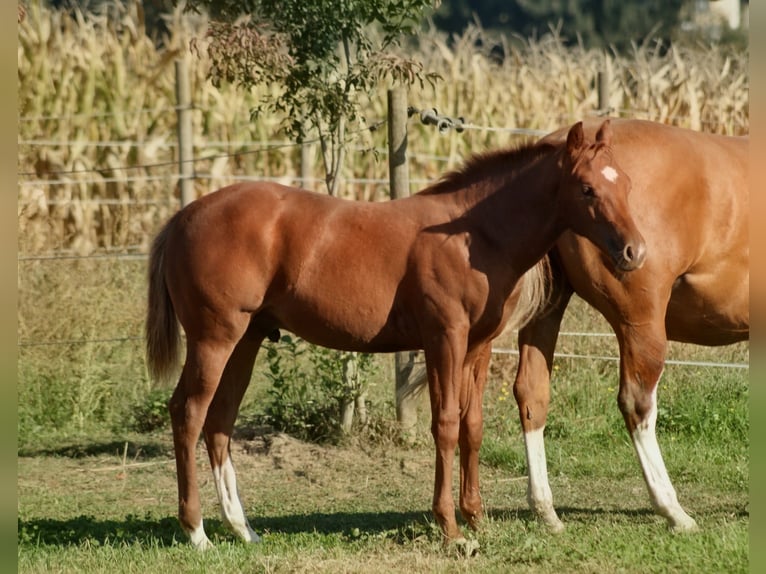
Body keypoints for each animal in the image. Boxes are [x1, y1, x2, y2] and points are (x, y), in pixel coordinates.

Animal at [145, 120, 646, 550]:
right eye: (587, 188)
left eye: (624, 183)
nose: (635, 251)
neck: (473, 234)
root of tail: (183, 216)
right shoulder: (444, 339)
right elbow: (445, 425)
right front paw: (450, 528)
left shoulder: (477, 347)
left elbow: (473, 426)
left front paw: (477, 518)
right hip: (214, 340)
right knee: (188, 414)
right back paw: (197, 532)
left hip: (245, 342)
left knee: (219, 421)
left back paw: (243, 528)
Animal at [511, 118, 748, 532]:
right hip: (641, 325)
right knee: (637, 405)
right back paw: (673, 510)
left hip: (548, 308)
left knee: (532, 393)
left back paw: (545, 510)